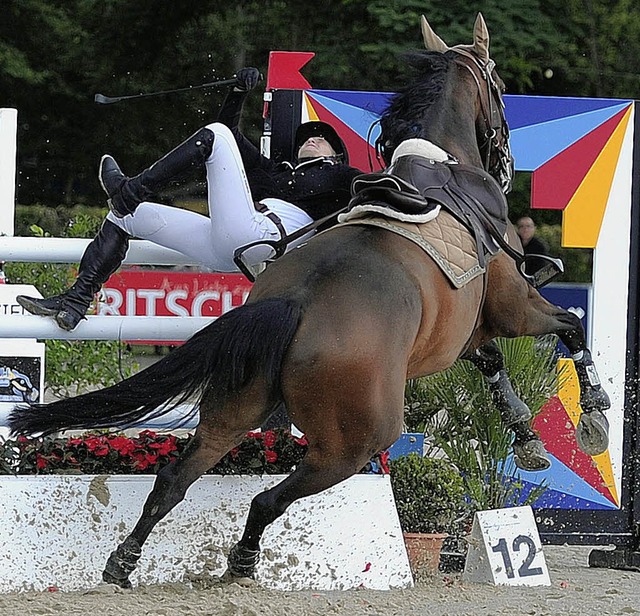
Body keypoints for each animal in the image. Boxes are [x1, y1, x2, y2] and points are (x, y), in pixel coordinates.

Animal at [8, 12, 608, 584]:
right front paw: (594, 415)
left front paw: (527, 436)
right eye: (500, 86)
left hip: (236, 407)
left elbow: (494, 363)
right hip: (353, 442)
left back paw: (124, 561)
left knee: (176, 478)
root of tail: (293, 303)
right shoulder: (512, 306)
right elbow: (568, 327)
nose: (506, 163)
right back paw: (241, 560)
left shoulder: (463, 332)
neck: (445, 165)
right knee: (268, 498)